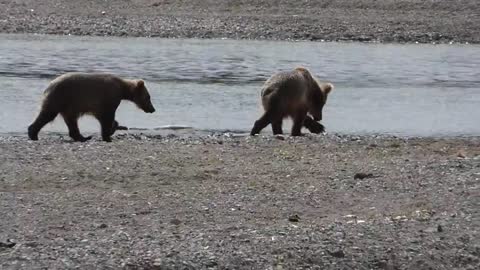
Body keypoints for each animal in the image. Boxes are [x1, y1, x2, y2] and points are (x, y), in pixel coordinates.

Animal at [27, 71, 156, 143]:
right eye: (148, 97)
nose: (153, 109)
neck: (123, 89)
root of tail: (49, 85)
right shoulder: (109, 97)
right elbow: (107, 117)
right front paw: (108, 135)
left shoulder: (101, 104)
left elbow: (104, 117)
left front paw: (113, 128)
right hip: (61, 97)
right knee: (48, 114)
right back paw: (33, 133)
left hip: (69, 104)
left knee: (71, 121)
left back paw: (82, 137)